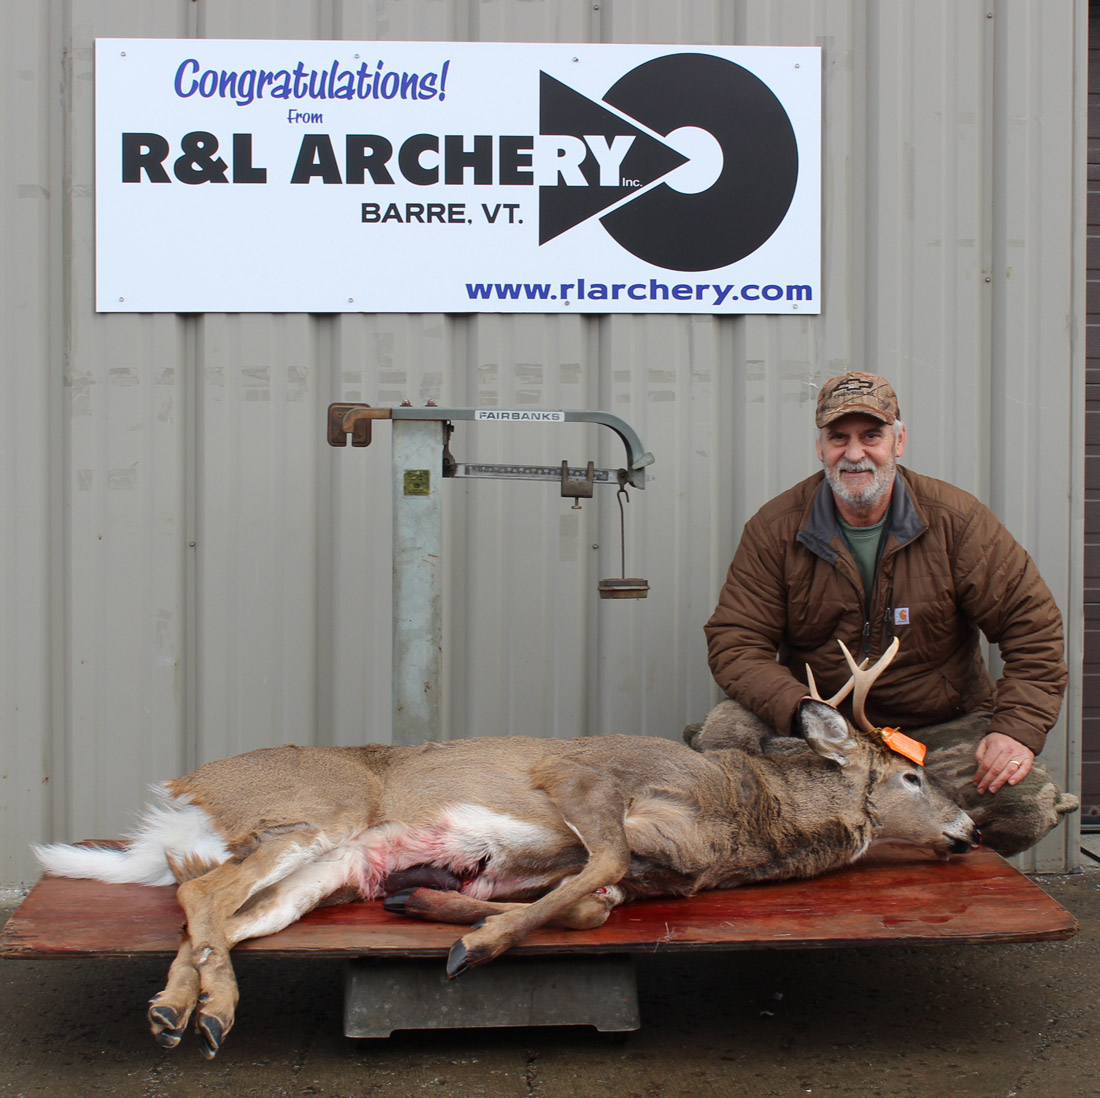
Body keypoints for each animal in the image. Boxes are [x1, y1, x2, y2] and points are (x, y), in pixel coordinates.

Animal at [32, 638, 979, 1059]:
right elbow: (598, 869)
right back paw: (195, 1013)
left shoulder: (602, 869)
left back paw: (186, 1012)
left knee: (217, 915)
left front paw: (431, 901)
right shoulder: (589, 779)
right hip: (314, 814)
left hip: (324, 872)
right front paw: (472, 946)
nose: (969, 829)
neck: (742, 817)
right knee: (199, 894)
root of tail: (184, 793)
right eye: (910, 777)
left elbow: (585, 901)